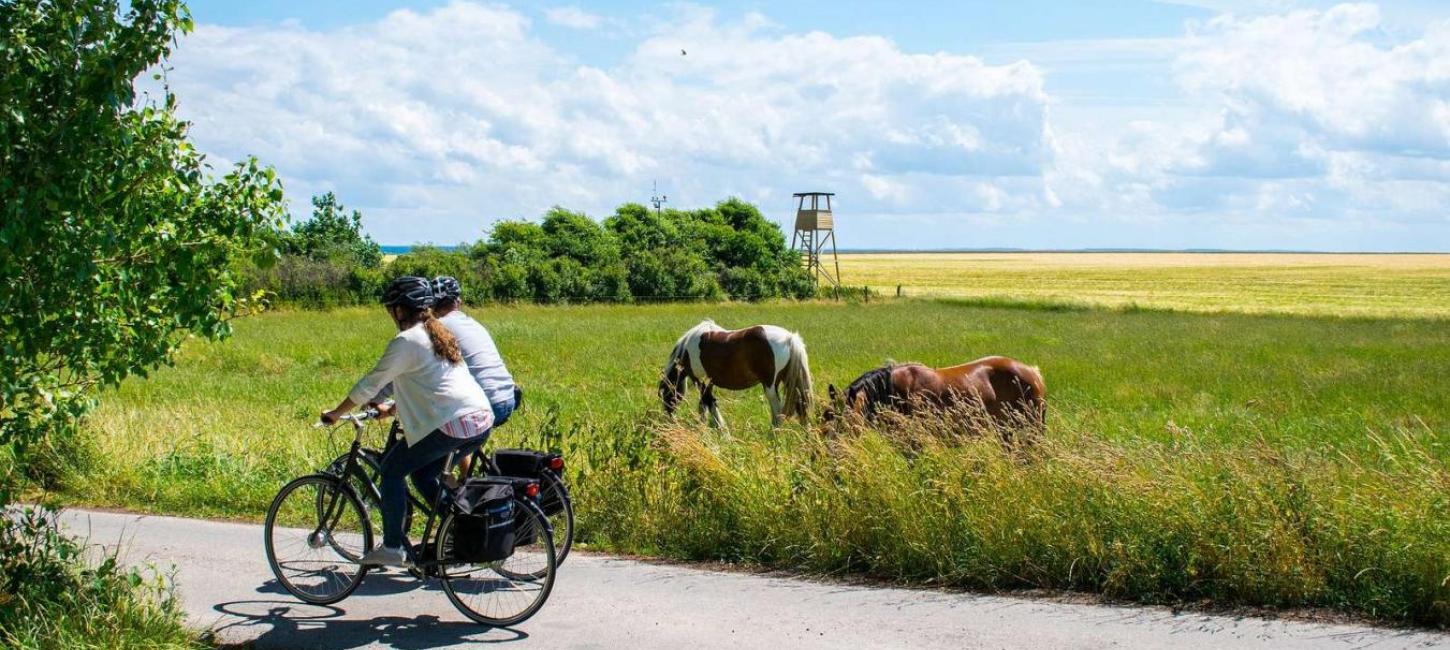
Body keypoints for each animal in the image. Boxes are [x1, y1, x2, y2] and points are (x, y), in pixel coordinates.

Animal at [661, 319, 812, 429]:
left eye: (664, 394)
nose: (669, 419)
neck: (687, 349)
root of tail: (789, 338)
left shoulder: (700, 381)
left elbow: (706, 403)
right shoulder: (709, 382)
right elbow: (709, 403)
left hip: (770, 385)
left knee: (778, 412)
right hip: (791, 381)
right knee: (801, 406)